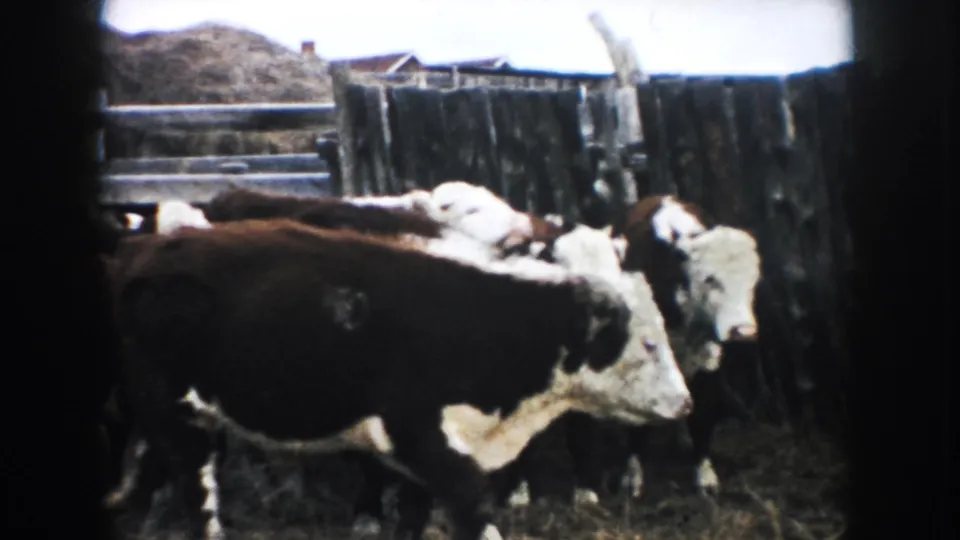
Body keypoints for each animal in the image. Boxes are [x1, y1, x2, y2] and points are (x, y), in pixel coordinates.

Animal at [108, 218, 692, 540]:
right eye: (647, 343)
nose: (685, 403)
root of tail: (141, 251)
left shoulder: (421, 465)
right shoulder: (424, 440)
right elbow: (476, 514)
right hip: (174, 414)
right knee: (199, 497)